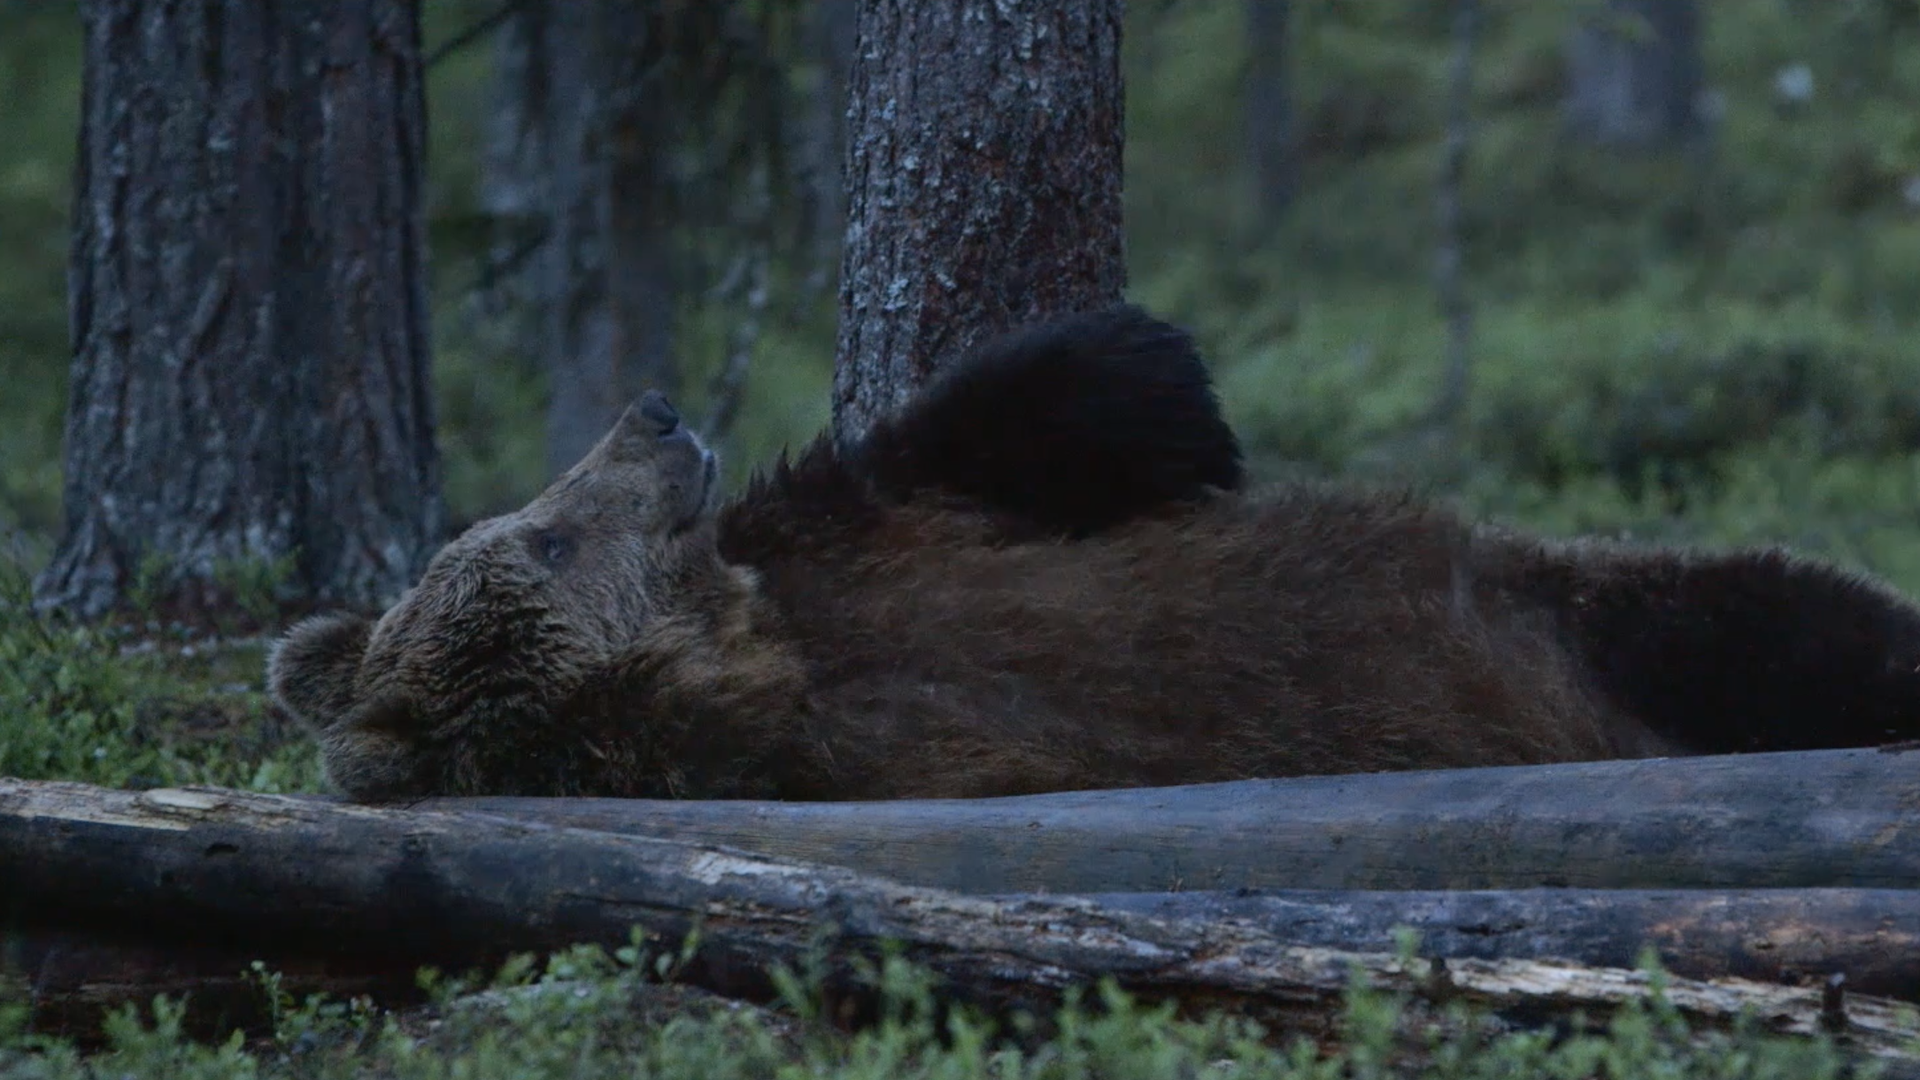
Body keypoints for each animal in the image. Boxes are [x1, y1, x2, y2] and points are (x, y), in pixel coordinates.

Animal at [274, 303, 1920, 799]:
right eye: (544, 537)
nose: (657, 413)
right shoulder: (884, 745)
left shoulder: (848, 542)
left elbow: (1006, 428)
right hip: (1608, 632)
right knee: (1800, 633)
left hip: (1587, 607)